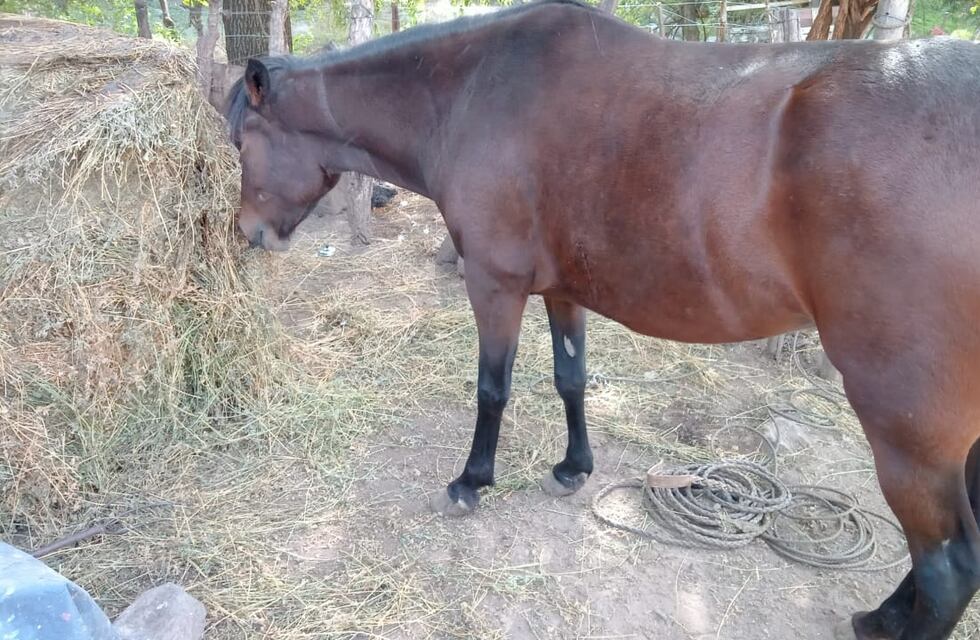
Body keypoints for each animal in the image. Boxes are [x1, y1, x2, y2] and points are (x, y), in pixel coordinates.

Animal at [224, 1, 980, 637]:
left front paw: (472, 482)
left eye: (241, 142)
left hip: (906, 429)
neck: (468, 93)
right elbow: (571, 380)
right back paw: (880, 619)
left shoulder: (494, 285)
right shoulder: (564, 290)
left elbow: (492, 389)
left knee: (948, 567)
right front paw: (572, 468)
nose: (249, 233)